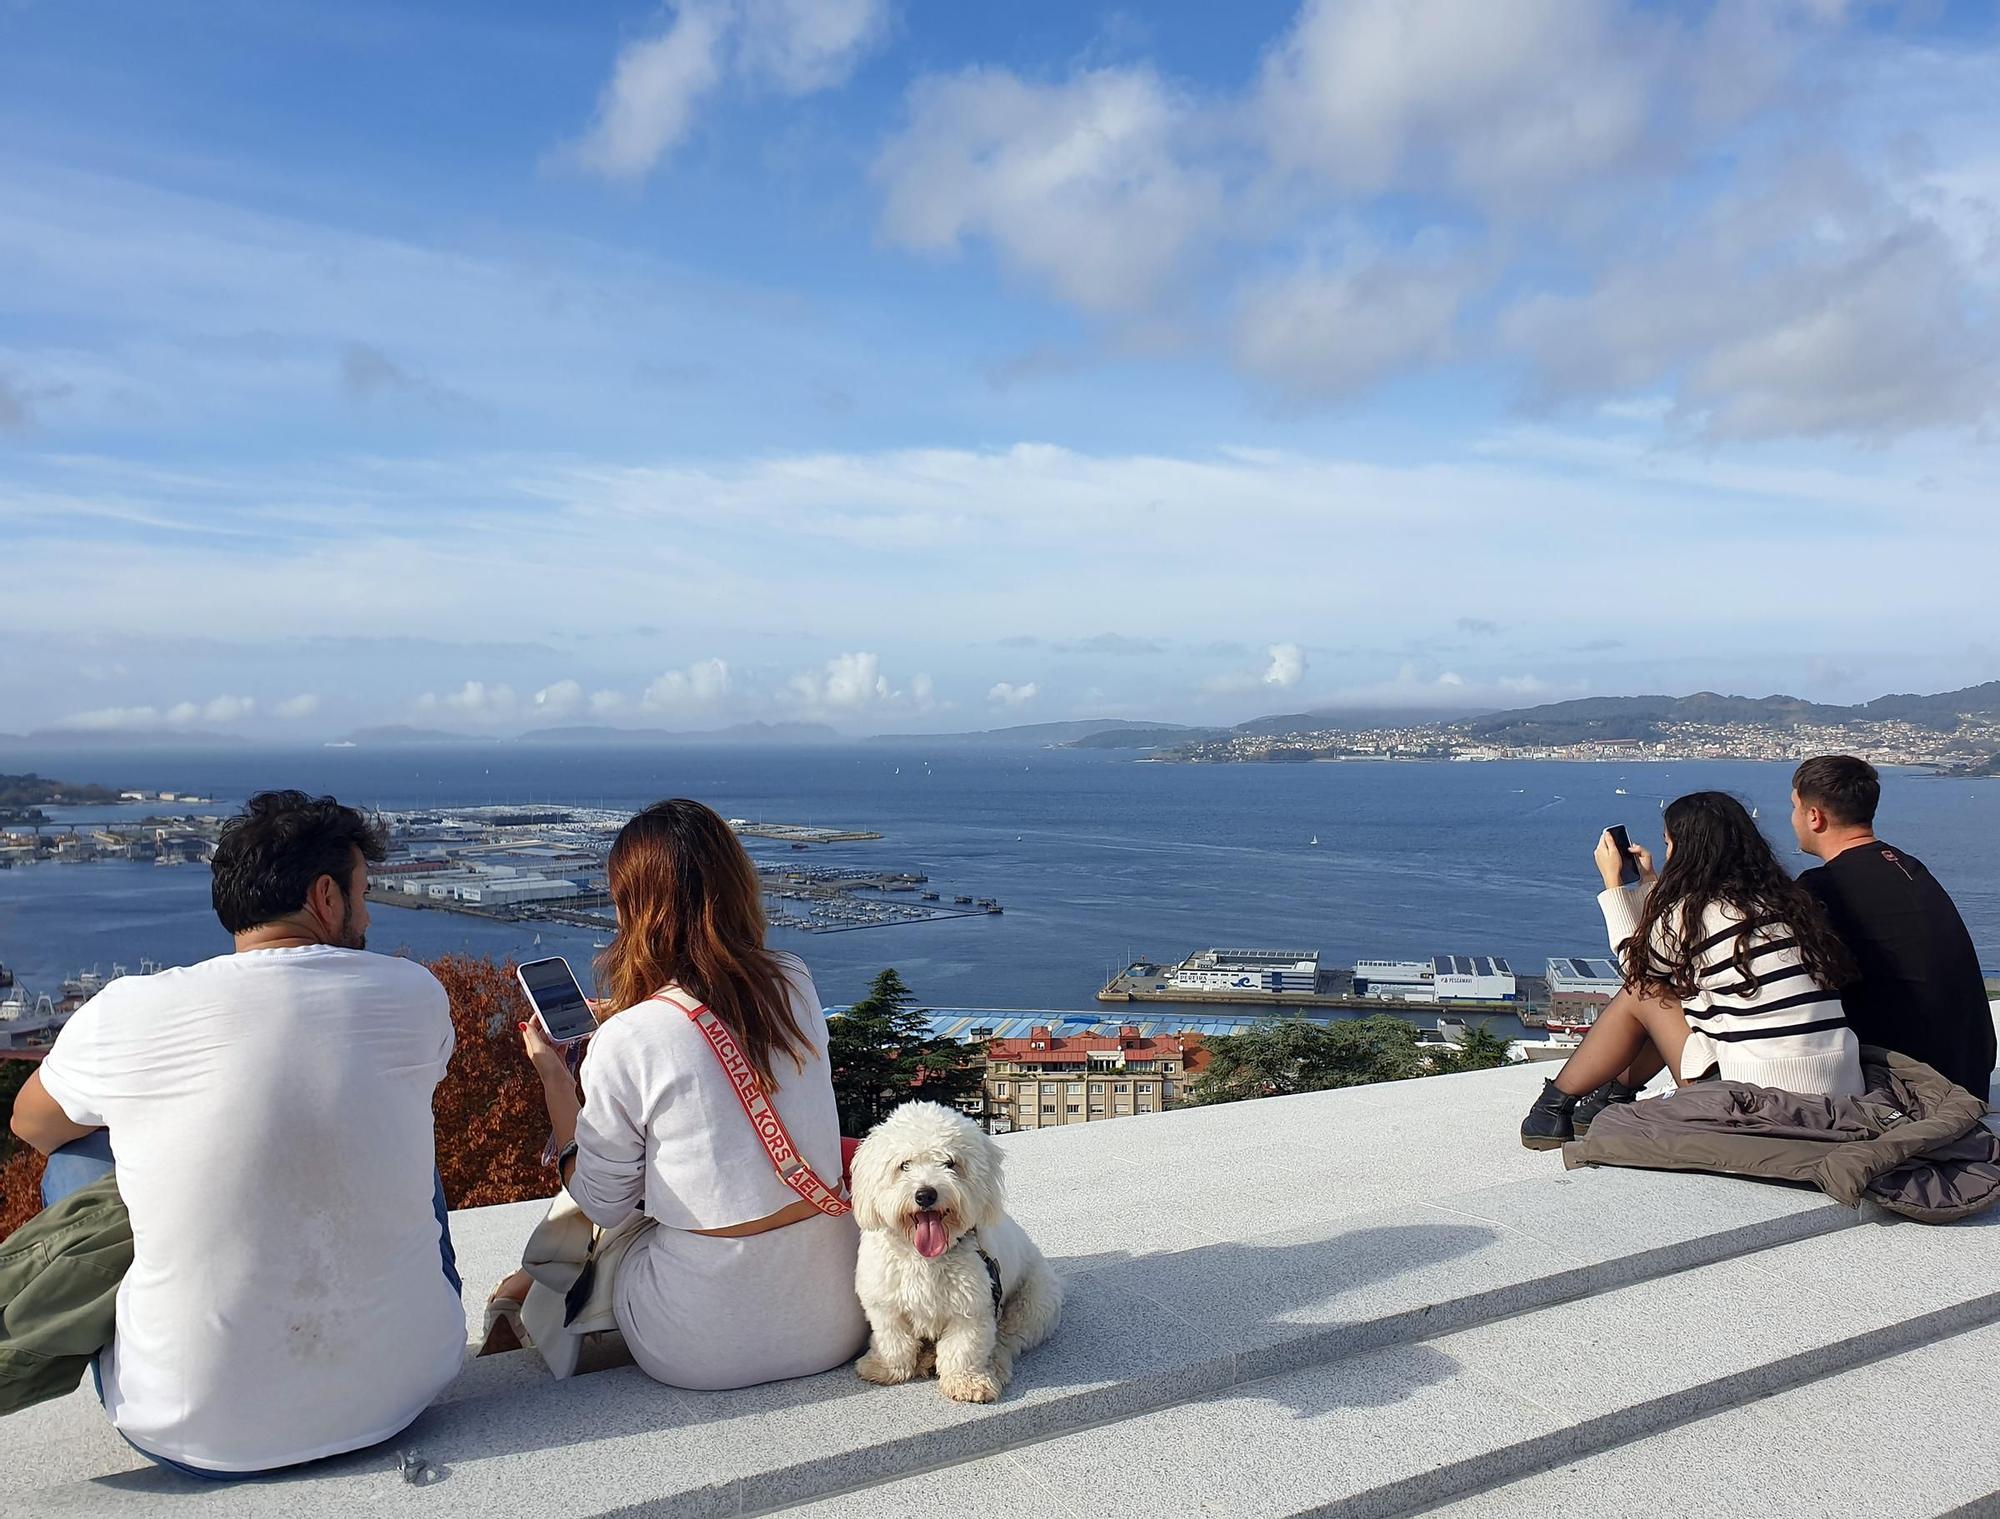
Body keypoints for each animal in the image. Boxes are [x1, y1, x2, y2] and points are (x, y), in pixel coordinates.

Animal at [848, 1095, 1064, 1407]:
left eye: (950, 1163)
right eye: (904, 1165)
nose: (925, 1194)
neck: (925, 1258)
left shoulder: (972, 1308)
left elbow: (963, 1349)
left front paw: (967, 1382)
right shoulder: (885, 1303)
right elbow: (893, 1340)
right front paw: (884, 1367)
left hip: (1032, 1303)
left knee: (1007, 1339)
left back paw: (992, 1366)